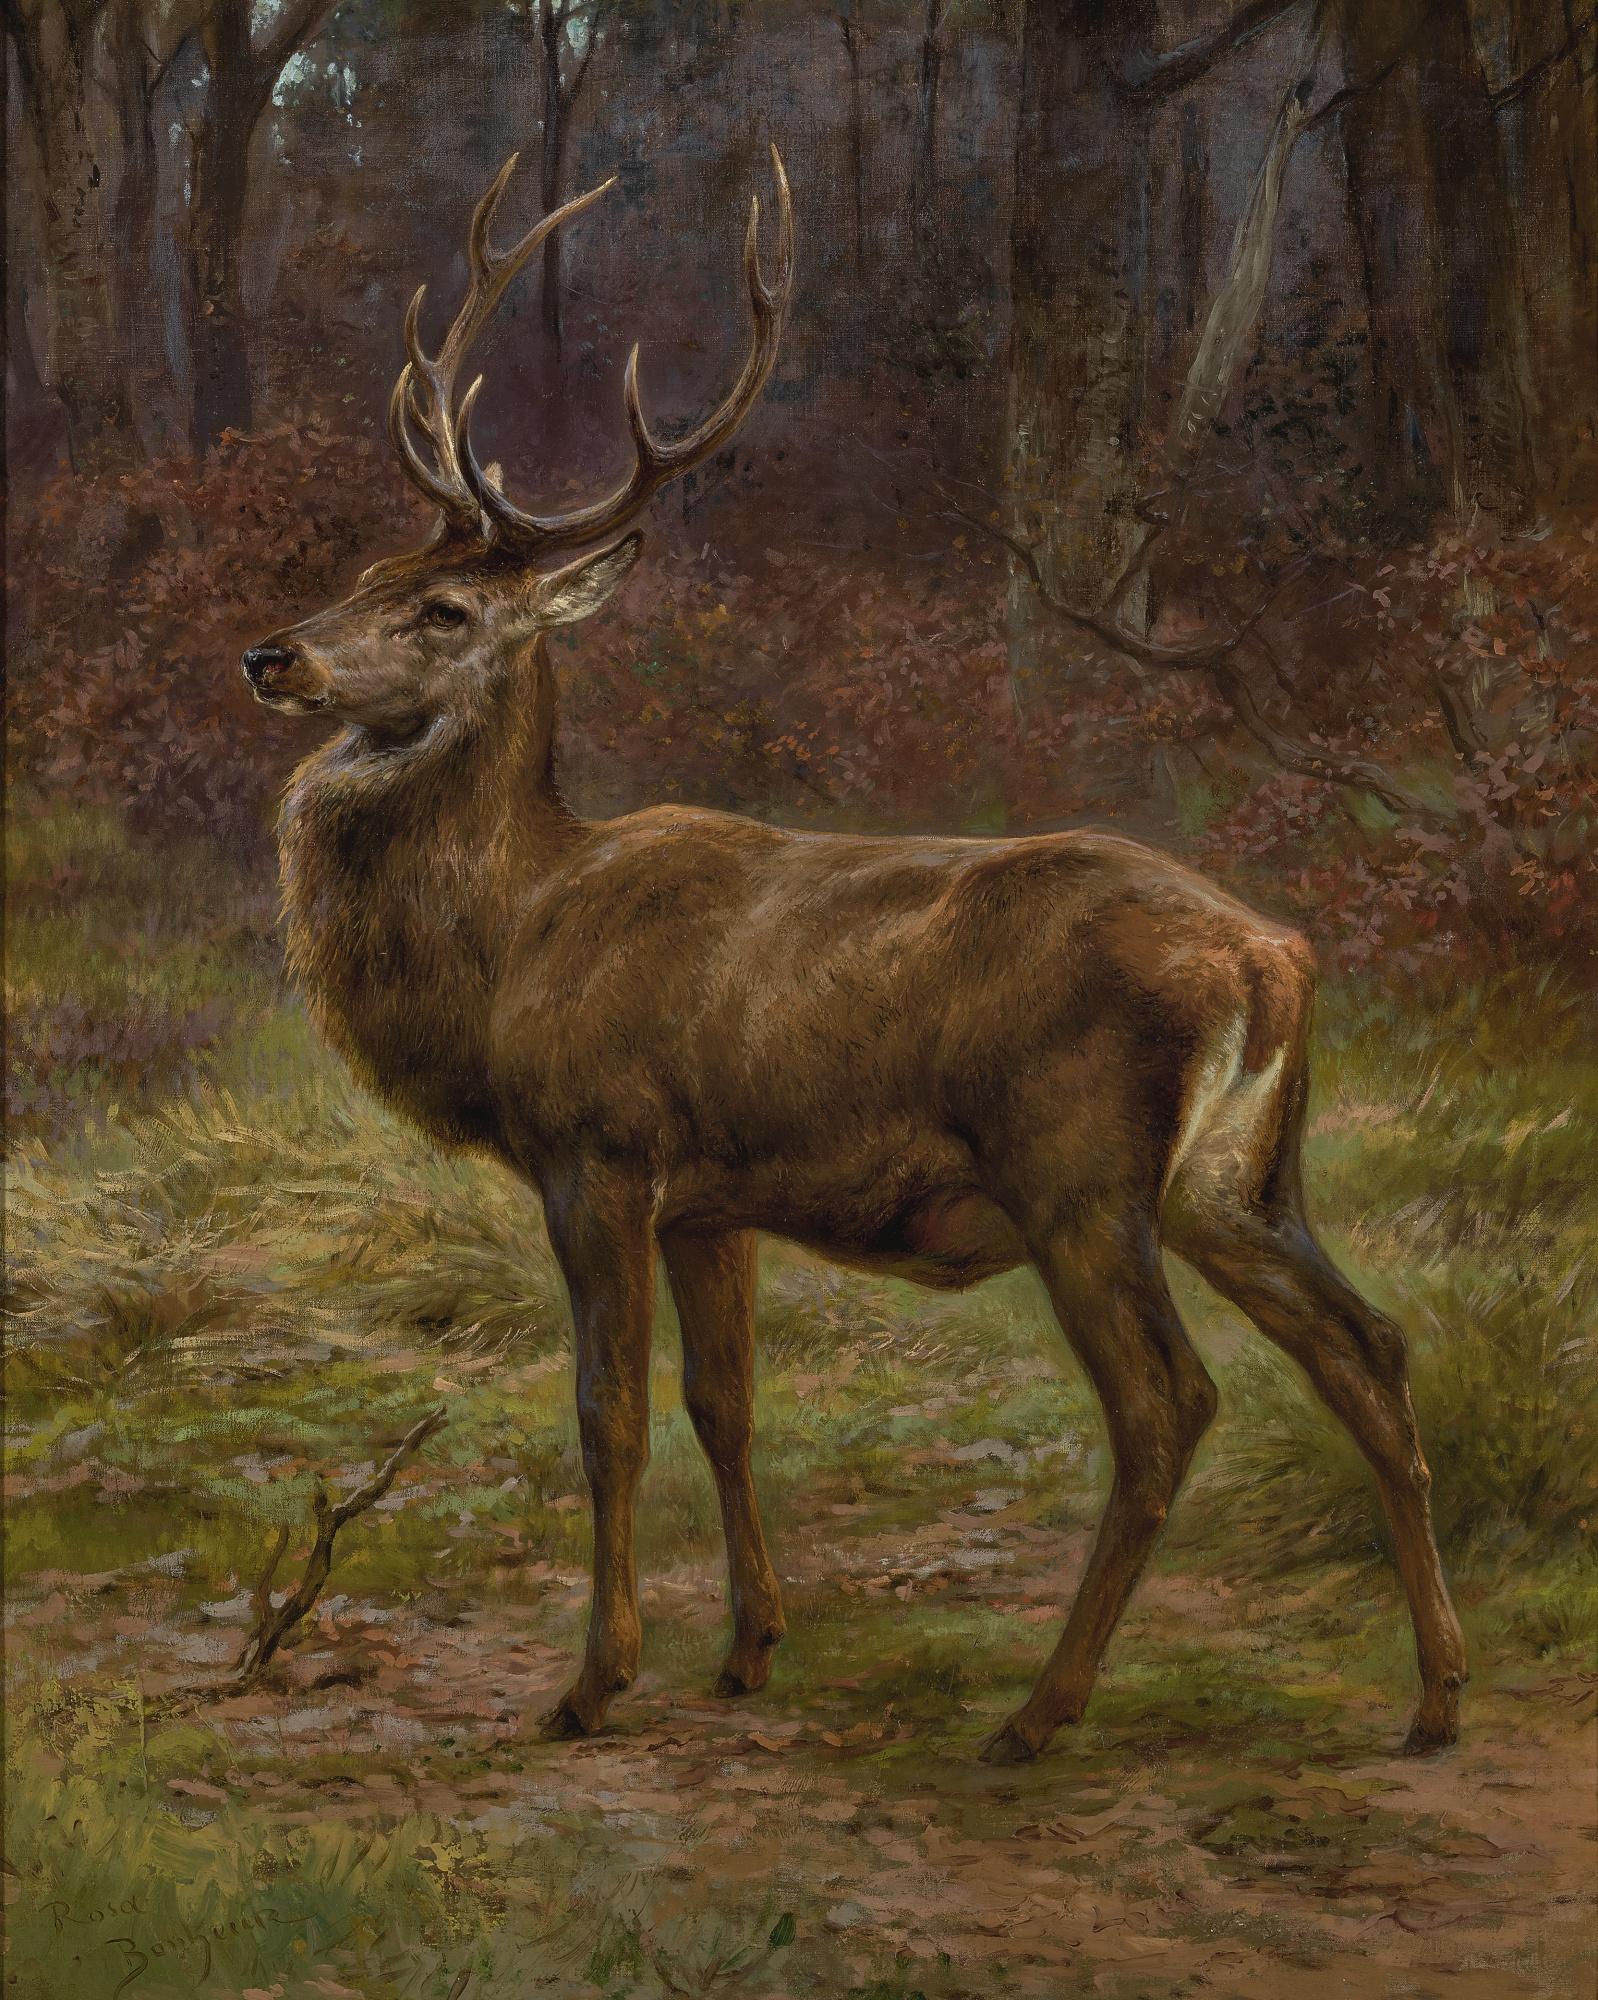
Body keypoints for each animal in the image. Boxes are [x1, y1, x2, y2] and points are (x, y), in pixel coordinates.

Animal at [242, 145, 1465, 1763]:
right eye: (364, 568)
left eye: (440, 607)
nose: (274, 654)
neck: (513, 942)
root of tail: (1270, 957)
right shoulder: (707, 1198)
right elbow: (726, 1406)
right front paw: (749, 1648)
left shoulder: (598, 1147)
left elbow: (608, 1414)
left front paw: (590, 1681)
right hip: (1240, 1177)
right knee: (1369, 1350)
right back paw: (1434, 1698)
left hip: (1078, 1165)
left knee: (1168, 1404)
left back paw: (1038, 1712)